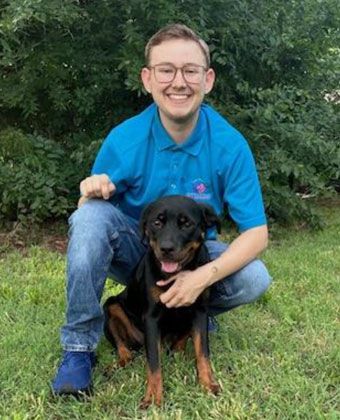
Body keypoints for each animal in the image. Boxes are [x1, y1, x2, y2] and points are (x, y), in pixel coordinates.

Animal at [102, 195, 222, 408]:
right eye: (156, 223)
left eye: (186, 224)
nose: (166, 248)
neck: (175, 276)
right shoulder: (151, 317)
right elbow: (154, 363)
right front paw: (152, 397)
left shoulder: (200, 311)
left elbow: (203, 353)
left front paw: (208, 383)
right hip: (111, 307)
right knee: (124, 348)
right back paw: (119, 362)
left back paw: (177, 351)